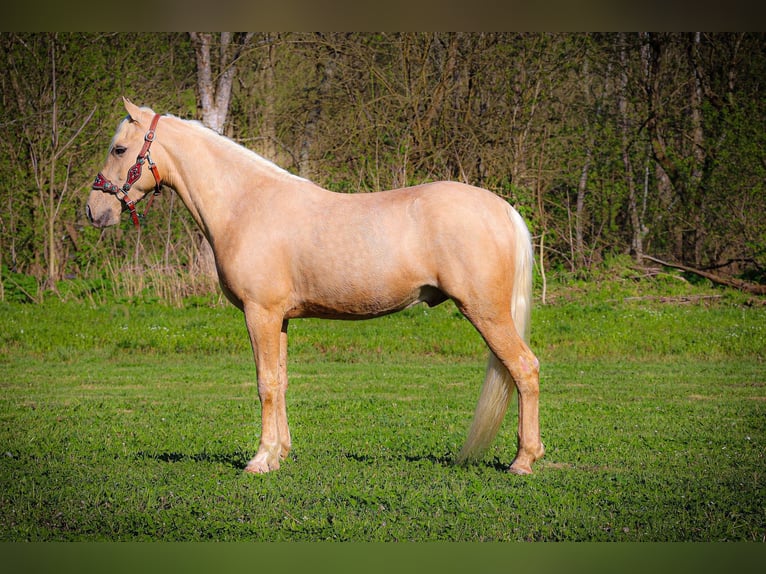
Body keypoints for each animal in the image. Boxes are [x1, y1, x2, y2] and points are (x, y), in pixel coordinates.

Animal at [87, 99, 544, 476]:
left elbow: (265, 383)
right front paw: (280, 454)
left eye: (119, 150)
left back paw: (523, 461)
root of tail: (503, 209)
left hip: (485, 312)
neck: (245, 204)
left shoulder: (260, 313)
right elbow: (281, 380)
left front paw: (259, 459)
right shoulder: (280, 319)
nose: (94, 211)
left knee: (524, 368)